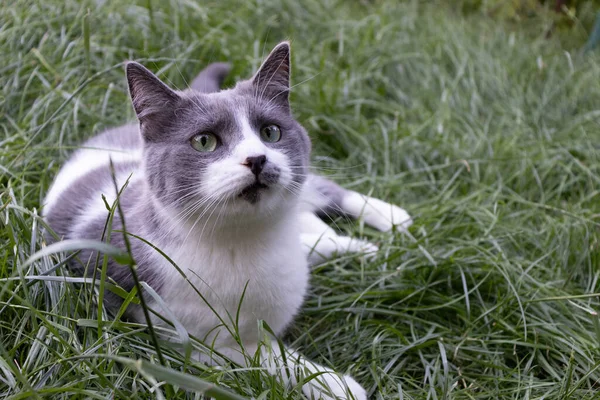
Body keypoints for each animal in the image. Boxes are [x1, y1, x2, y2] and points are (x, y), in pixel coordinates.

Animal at [43, 42, 412, 398]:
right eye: (204, 141)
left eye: (271, 132)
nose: (257, 158)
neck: (246, 241)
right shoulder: (178, 335)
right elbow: (264, 358)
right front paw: (335, 384)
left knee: (326, 197)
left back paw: (392, 221)